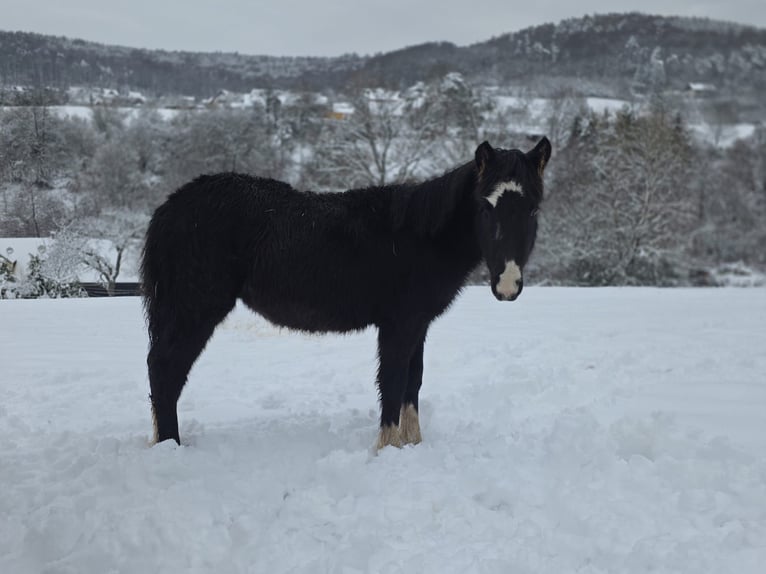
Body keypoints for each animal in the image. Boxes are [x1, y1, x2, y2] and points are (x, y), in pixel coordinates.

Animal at [141, 138, 552, 450]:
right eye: (485, 205)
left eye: (533, 209)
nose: (507, 284)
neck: (420, 236)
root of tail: (170, 207)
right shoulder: (398, 326)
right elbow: (392, 382)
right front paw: (387, 449)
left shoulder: (418, 324)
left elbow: (413, 383)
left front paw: (413, 444)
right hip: (194, 309)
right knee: (165, 370)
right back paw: (170, 446)